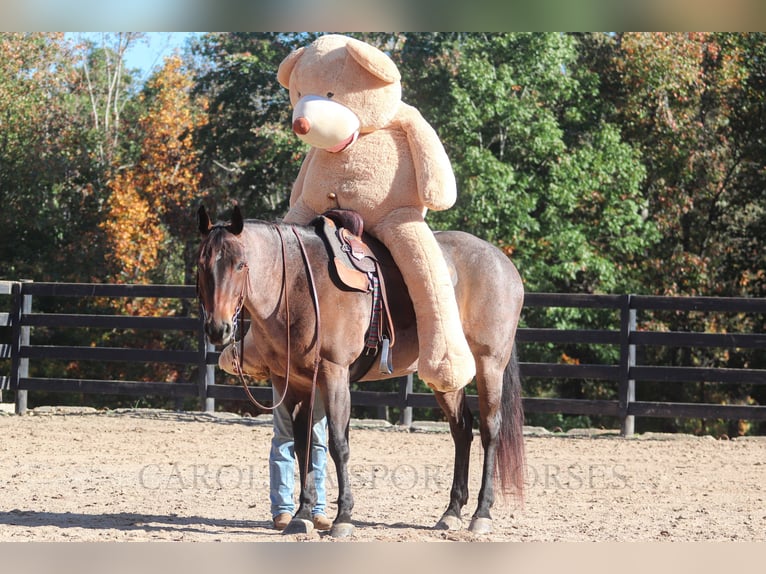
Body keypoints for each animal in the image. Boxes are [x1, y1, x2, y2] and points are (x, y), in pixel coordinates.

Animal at [196, 206, 528, 540]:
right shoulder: (294, 382)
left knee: (490, 430)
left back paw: (482, 513)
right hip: (447, 377)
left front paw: (343, 517)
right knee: (461, 429)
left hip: (489, 364)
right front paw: (302, 515)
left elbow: (338, 445)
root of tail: (502, 262)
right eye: (201, 264)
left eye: (240, 264)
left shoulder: (334, 374)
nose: (218, 329)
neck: (297, 285)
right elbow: (303, 445)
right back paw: (451, 512)